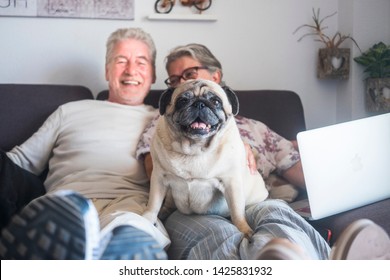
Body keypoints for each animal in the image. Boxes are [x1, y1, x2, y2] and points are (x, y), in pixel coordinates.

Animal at [142, 79, 268, 238]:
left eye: (215, 101)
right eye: (182, 101)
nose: (199, 104)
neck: (195, 148)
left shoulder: (231, 183)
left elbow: (237, 212)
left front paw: (244, 230)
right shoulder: (159, 178)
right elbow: (153, 203)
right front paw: (147, 219)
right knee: (168, 203)